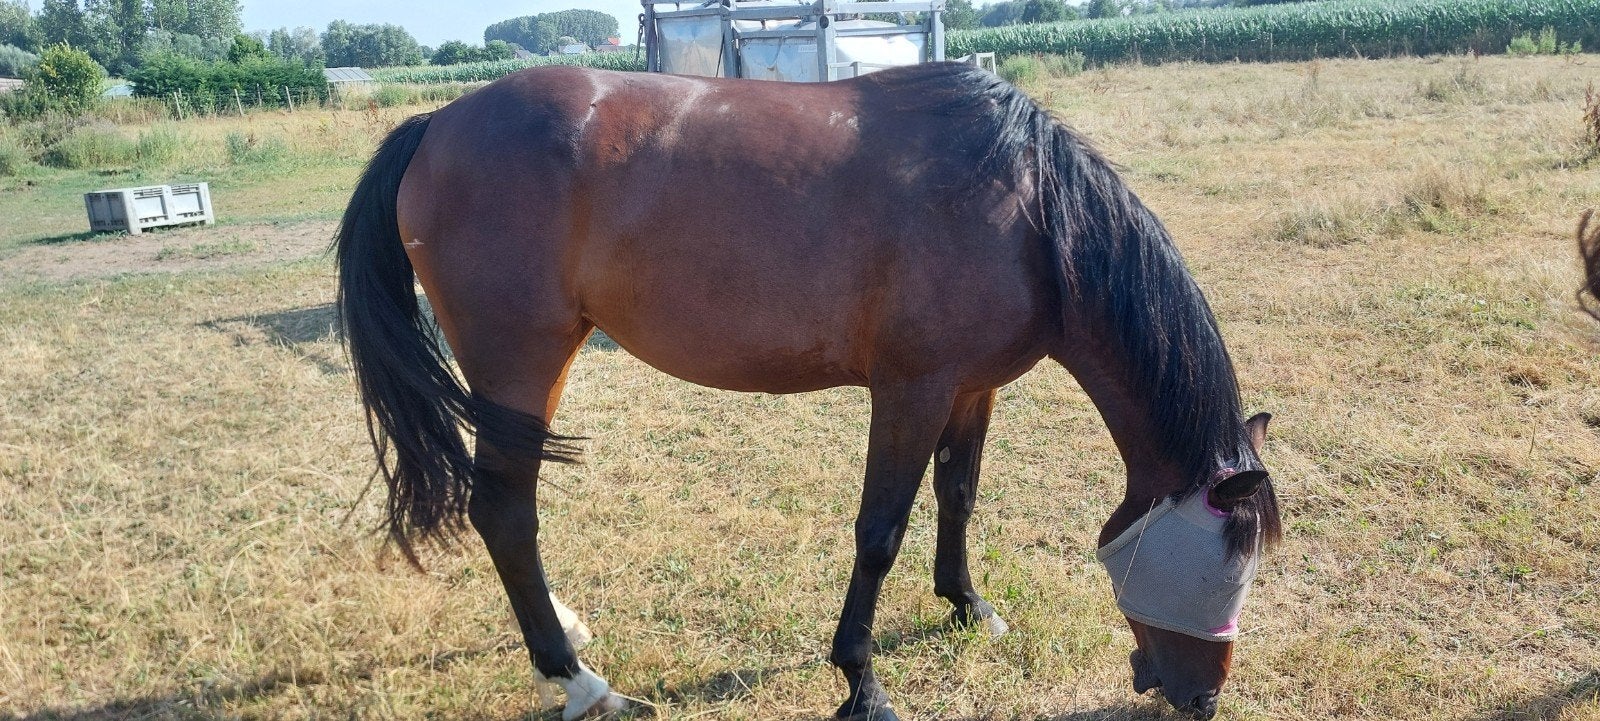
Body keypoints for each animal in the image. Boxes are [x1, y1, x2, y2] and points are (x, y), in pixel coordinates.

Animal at [334, 62, 1282, 721]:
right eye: (1225, 567)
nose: (1202, 699)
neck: (1024, 209)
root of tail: (436, 122)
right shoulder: (910, 389)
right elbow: (880, 530)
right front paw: (862, 680)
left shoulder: (970, 387)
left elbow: (959, 496)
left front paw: (967, 605)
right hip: (519, 362)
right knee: (504, 509)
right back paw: (579, 682)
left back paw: (566, 636)